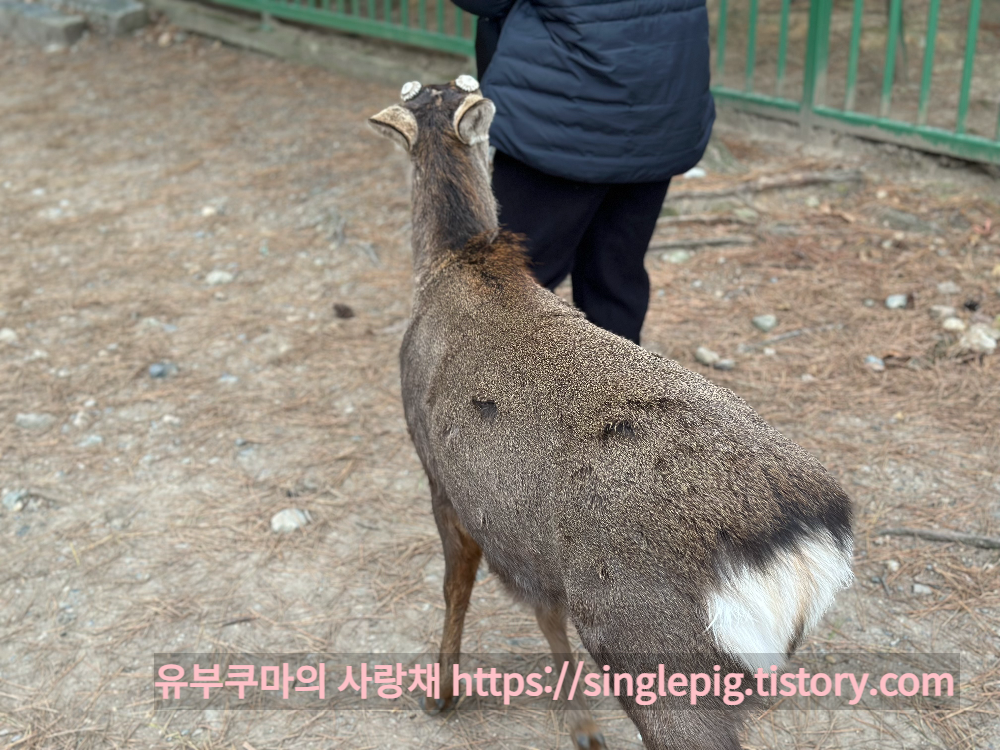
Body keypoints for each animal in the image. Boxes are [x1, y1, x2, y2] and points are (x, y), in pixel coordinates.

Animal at [368, 77, 854, 750]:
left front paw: (440, 695)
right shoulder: (531, 544)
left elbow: (456, 584)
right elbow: (544, 613)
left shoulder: (438, 470)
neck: (458, 265)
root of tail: (803, 545)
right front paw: (579, 722)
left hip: (645, 639)